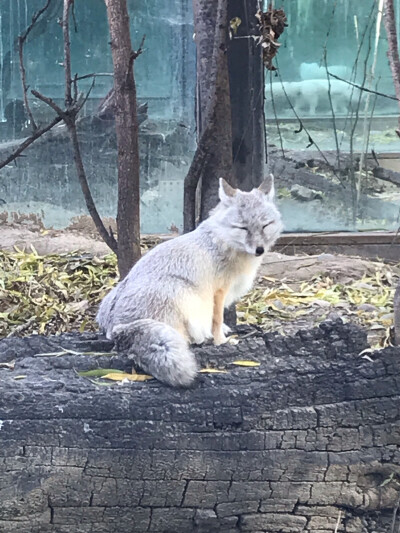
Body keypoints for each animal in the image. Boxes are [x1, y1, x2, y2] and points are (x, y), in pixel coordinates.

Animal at [96, 178, 284, 386]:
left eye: (265, 225)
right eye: (243, 228)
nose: (259, 249)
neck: (222, 241)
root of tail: (115, 327)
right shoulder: (218, 291)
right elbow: (216, 318)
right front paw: (220, 341)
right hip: (183, 294)